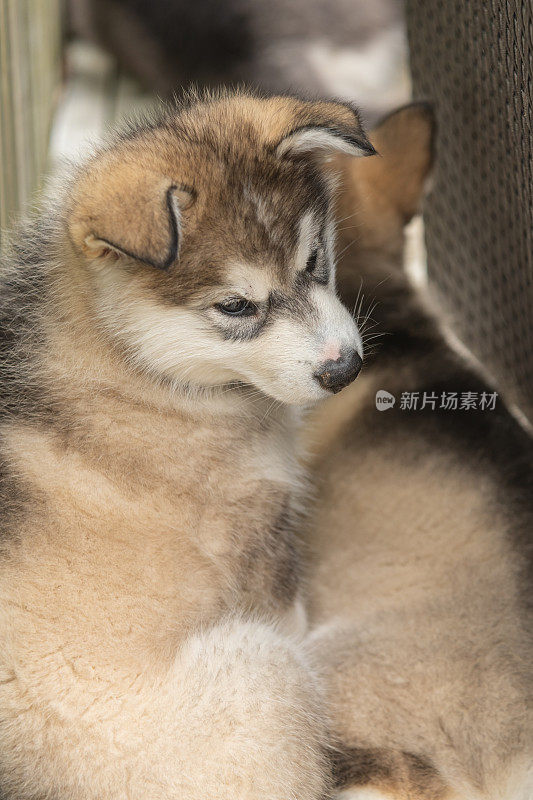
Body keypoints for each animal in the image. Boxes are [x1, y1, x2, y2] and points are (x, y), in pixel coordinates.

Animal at [0, 92, 370, 800]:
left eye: (313, 260)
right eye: (235, 308)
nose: (345, 369)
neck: (133, 361)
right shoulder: (256, 531)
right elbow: (291, 612)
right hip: (264, 677)